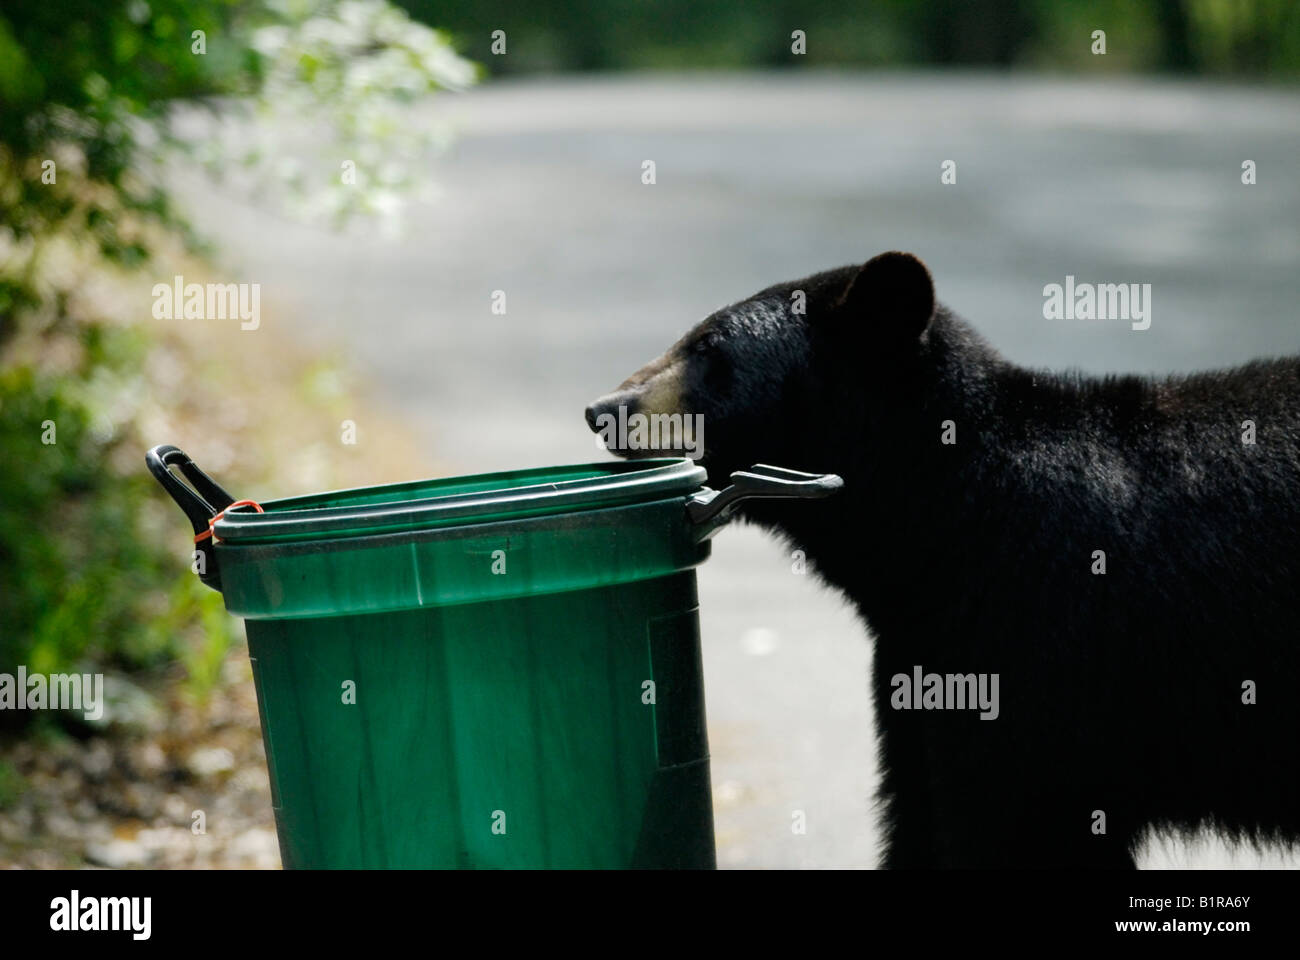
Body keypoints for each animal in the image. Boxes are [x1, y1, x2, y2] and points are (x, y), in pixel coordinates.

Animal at [590, 251, 1300, 863]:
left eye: (709, 349)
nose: (604, 409)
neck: (947, 520)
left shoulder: (1040, 648)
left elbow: (1019, 820)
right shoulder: (924, 662)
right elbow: (918, 811)